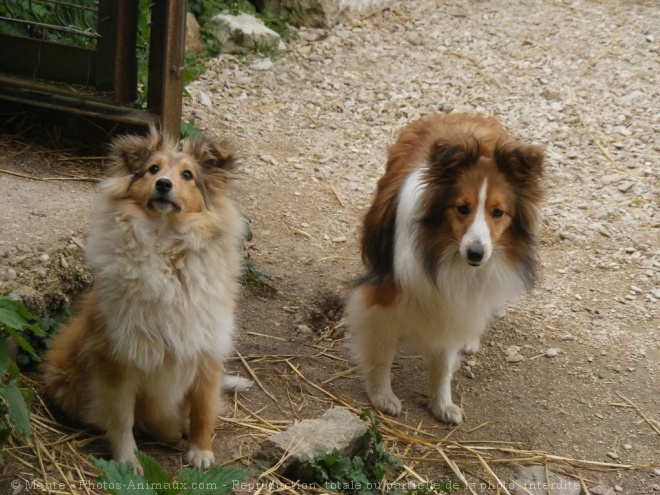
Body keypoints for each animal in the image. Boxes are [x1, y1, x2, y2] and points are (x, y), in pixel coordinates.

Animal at [42, 127, 250, 472]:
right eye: (153, 169)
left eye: (188, 175)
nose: (163, 184)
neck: (166, 248)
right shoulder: (118, 358)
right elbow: (122, 416)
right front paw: (127, 461)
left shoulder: (207, 349)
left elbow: (204, 408)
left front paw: (201, 451)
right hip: (66, 376)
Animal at [342, 113, 544, 426]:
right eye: (462, 208)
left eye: (498, 212)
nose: (476, 254)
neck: (445, 256)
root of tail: (463, 114)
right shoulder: (383, 297)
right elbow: (382, 353)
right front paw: (382, 397)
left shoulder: (452, 303)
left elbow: (443, 363)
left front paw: (442, 405)